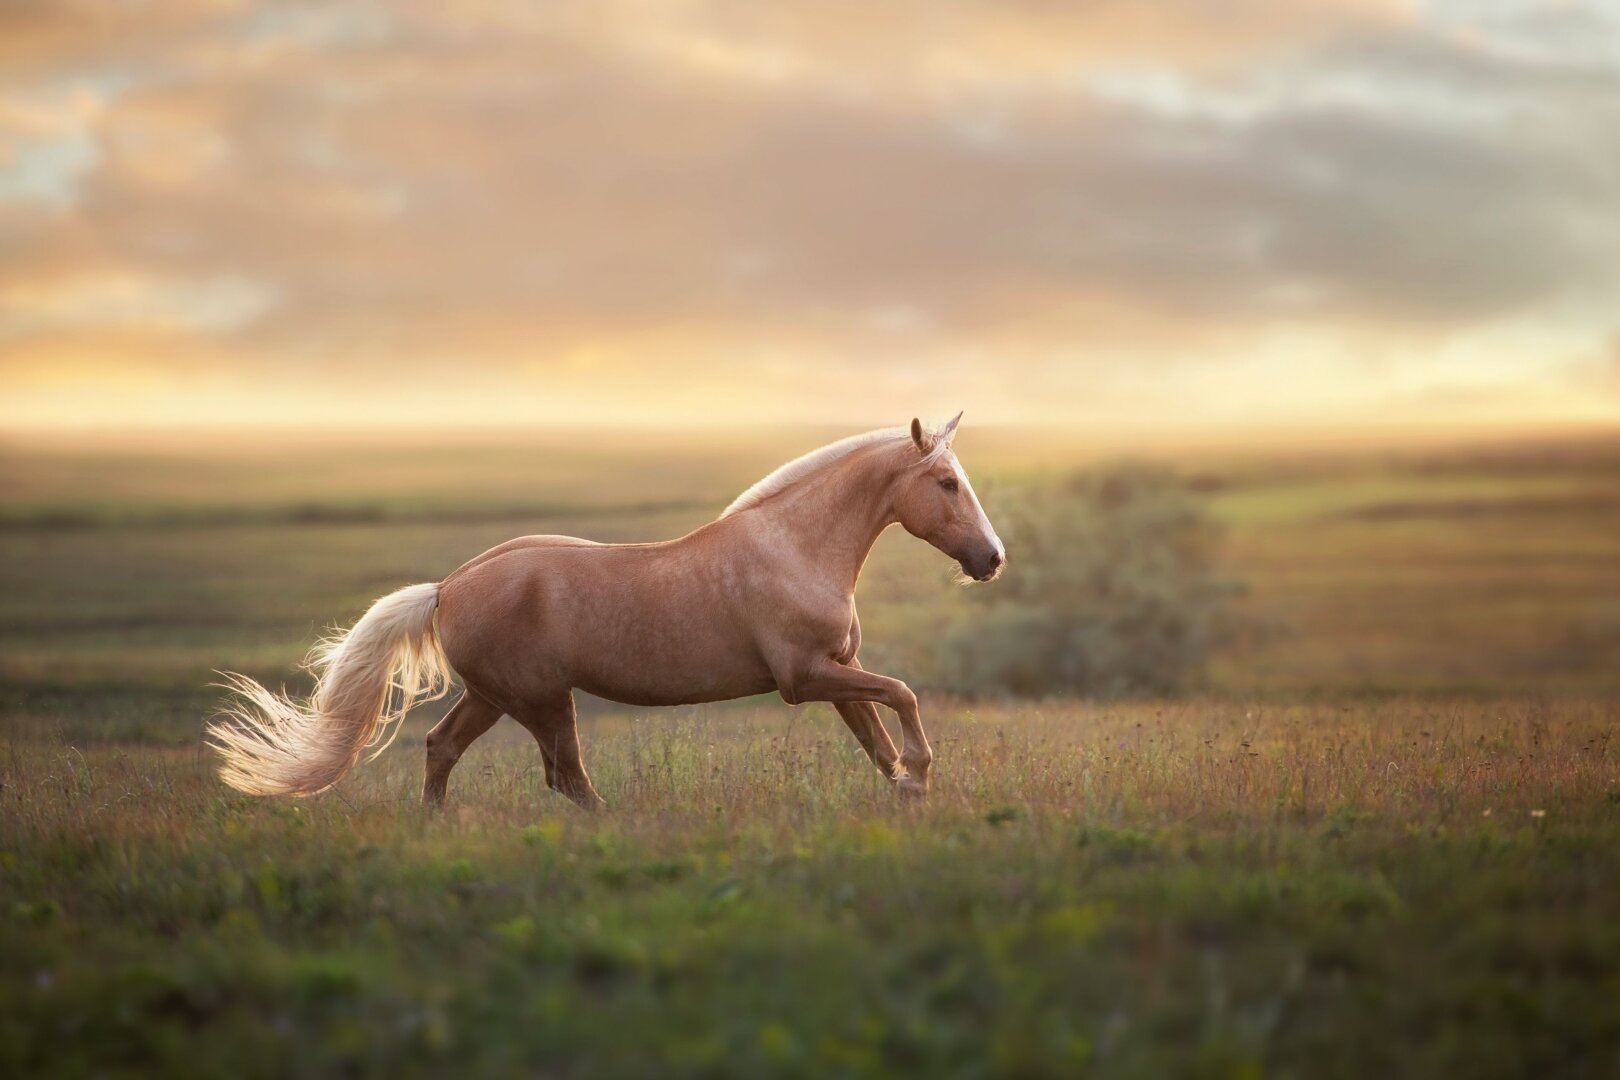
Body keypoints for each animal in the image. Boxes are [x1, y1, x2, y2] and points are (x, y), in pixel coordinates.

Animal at [208, 414, 1004, 809]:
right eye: (945, 482)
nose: (991, 558)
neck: (794, 546)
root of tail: (449, 587)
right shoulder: (804, 677)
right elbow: (903, 697)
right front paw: (922, 777)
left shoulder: (837, 669)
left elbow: (876, 737)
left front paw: (908, 793)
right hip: (539, 700)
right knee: (567, 778)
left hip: (495, 697)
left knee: (445, 749)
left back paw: (435, 827)